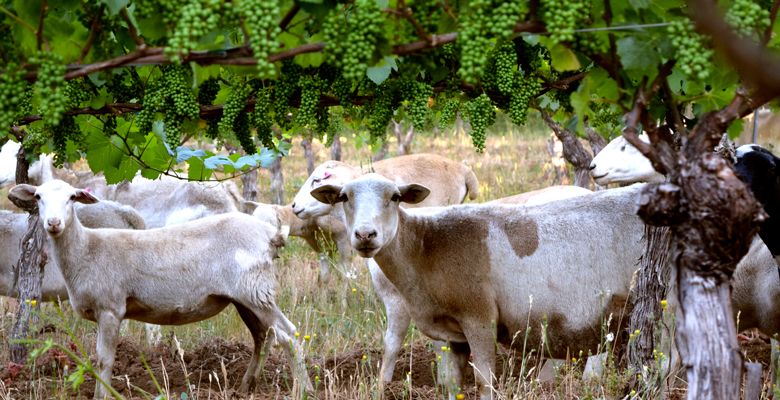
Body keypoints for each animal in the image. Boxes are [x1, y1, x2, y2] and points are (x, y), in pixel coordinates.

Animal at [9, 180, 310, 398]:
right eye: (38, 197)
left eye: (72, 198)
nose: (53, 223)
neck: (86, 249)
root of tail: (270, 235)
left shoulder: (110, 308)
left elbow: (104, 360)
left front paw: (101, 394)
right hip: (245, 296)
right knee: (263, 335)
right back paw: (246, 386)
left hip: (255, 291)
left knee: (289, 335)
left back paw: (304, 388)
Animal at [310, 176, 644, 400]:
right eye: (343, 197)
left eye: (394, 197)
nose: (365, 235)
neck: (426, 248)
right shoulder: (452, 333)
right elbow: (453, 384)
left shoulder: (479, 317)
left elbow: (485, 382)